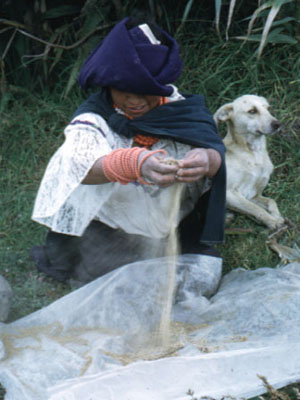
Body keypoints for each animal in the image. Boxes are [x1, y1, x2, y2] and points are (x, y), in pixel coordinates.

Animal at [214, 95, 284, 230]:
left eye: (268, 108)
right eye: (252, 111)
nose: (277, 124)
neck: (254, 154)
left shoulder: (253, 195)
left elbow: (271, 201)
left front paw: (277, 216)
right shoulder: (230, 194)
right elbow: (256, 209)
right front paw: (272, 221)